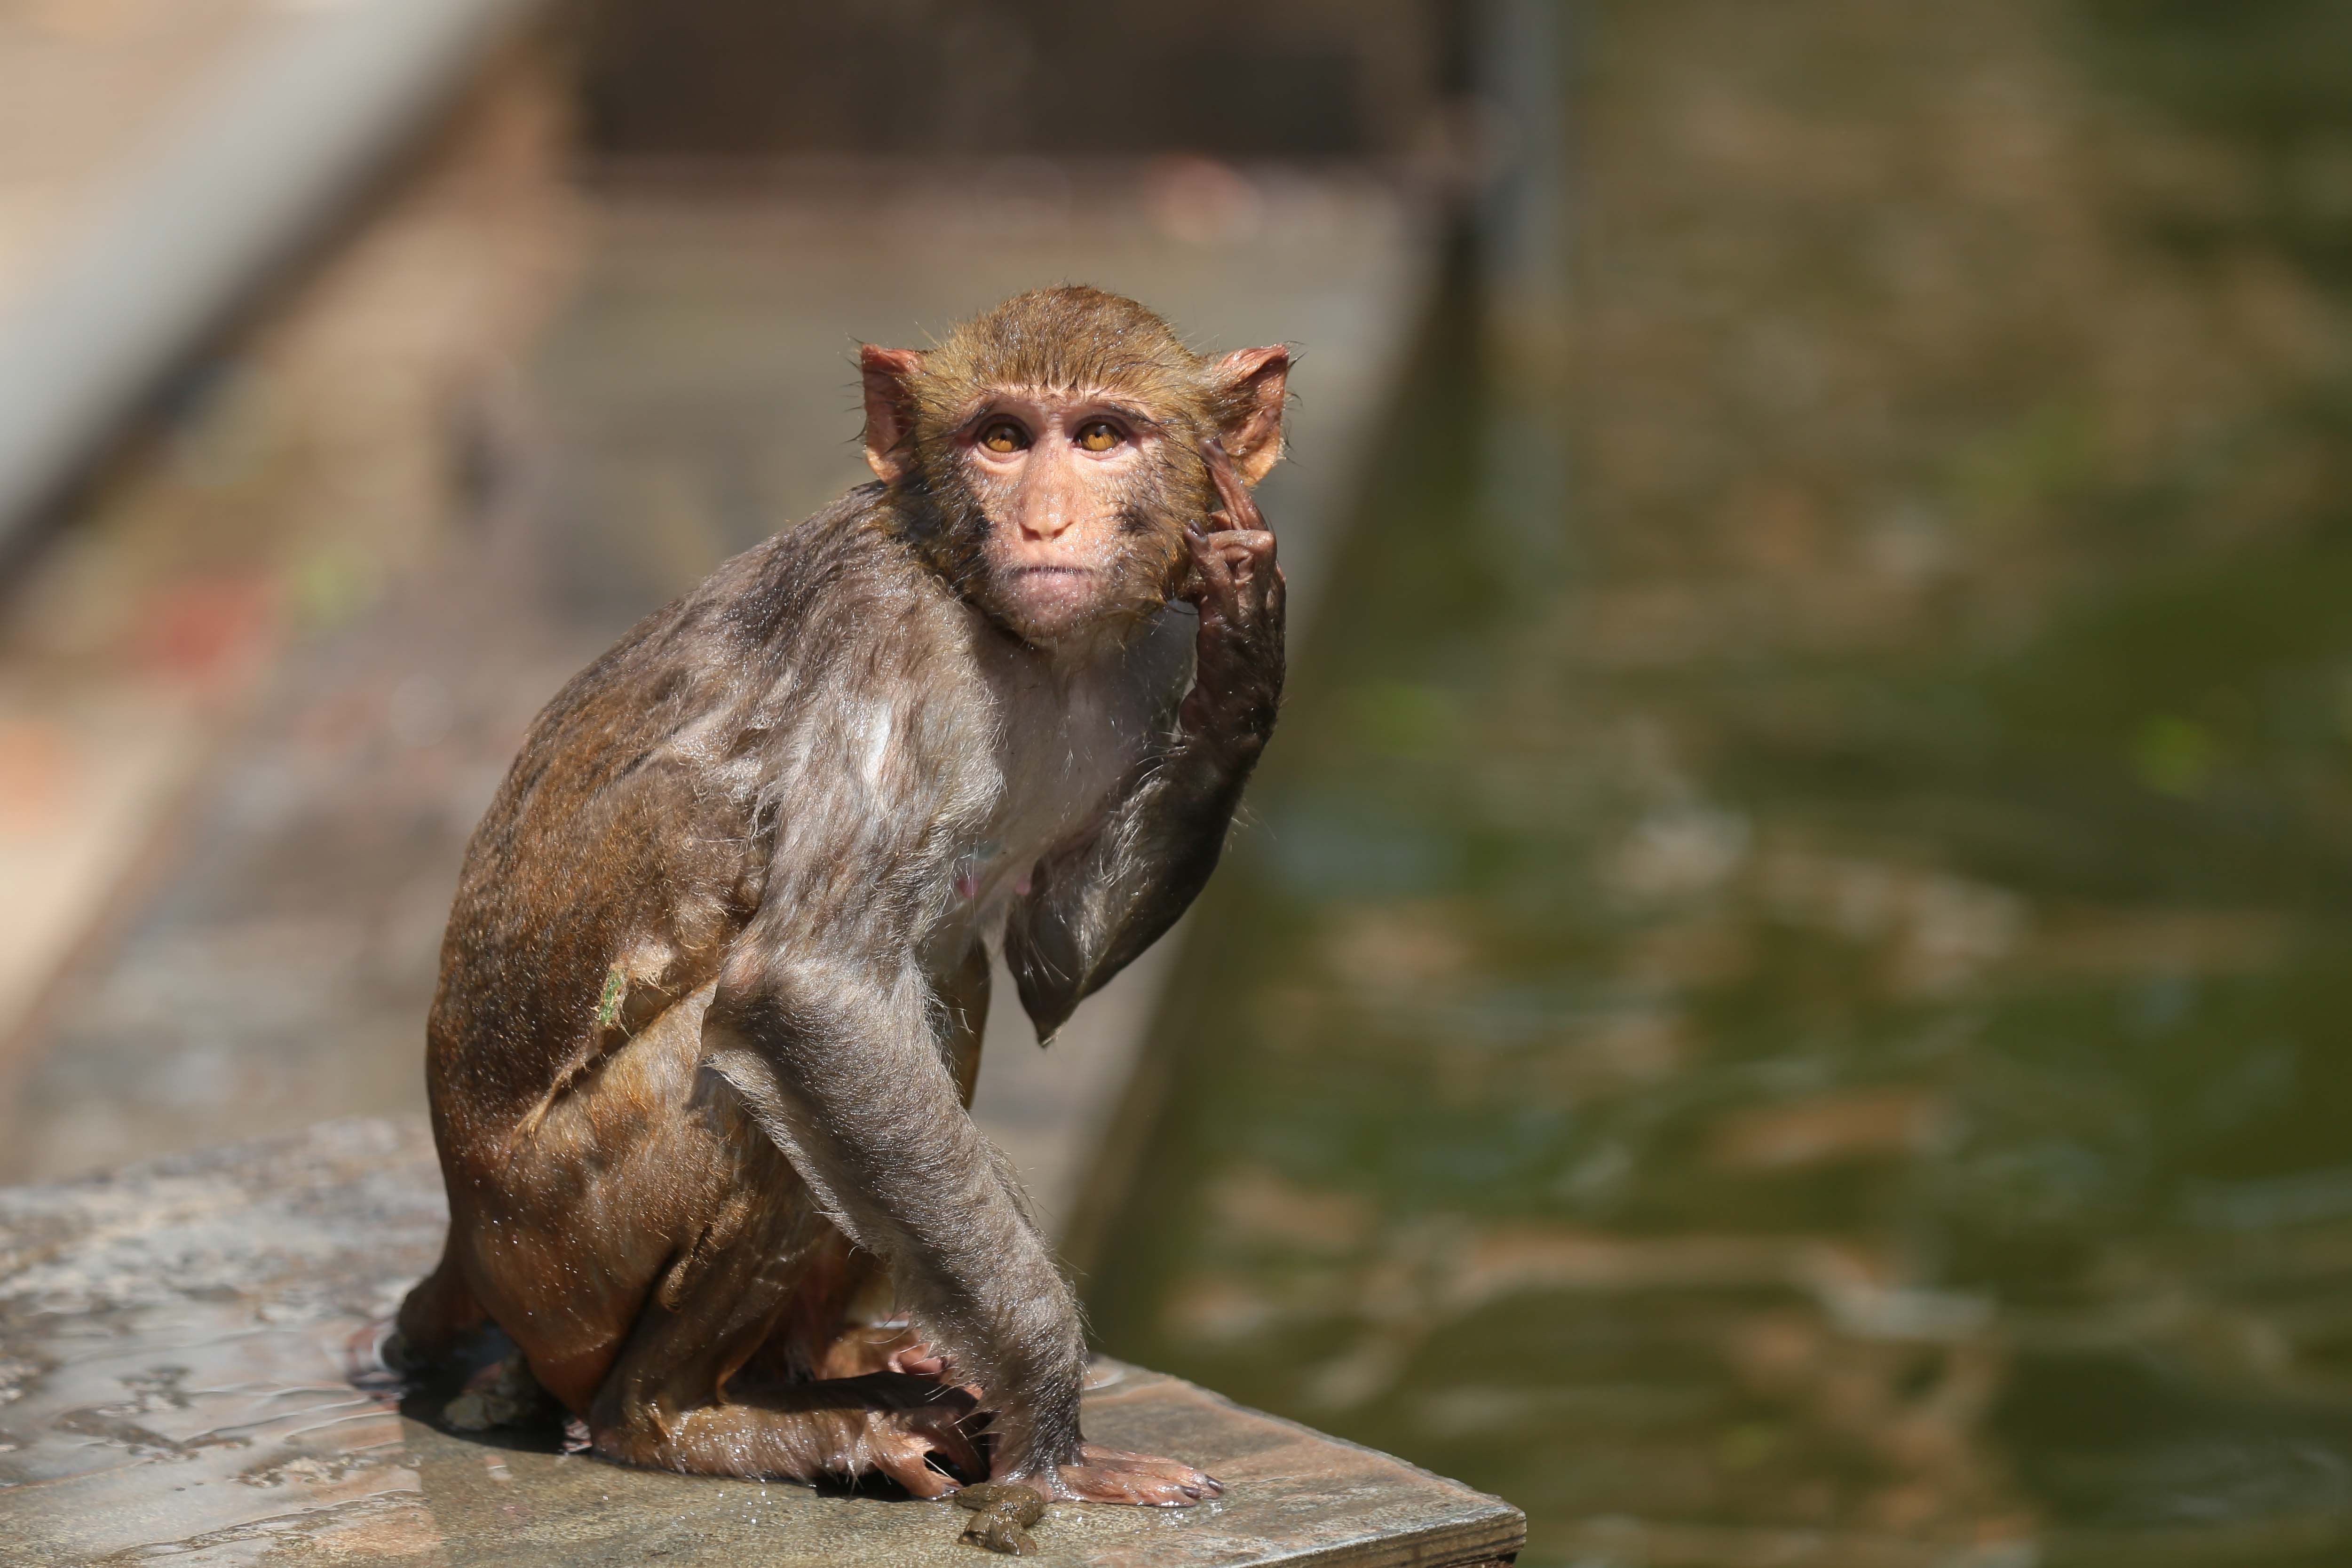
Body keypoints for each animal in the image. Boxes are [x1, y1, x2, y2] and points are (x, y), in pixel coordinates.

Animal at [389, 286, 1288, 1508]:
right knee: (751, 1074)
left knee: (950, 965)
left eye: (1102, 436)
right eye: (1002, 439)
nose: (1045, 523)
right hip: (560, 1257)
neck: (989, 611)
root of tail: (460, 1236)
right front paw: (1051, 1423)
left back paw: (825, 1353)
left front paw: (1250, 652)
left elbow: (1047, 960)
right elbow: (807, 991)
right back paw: (680, 1417)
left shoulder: (1149, 657)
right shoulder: (887, 641)